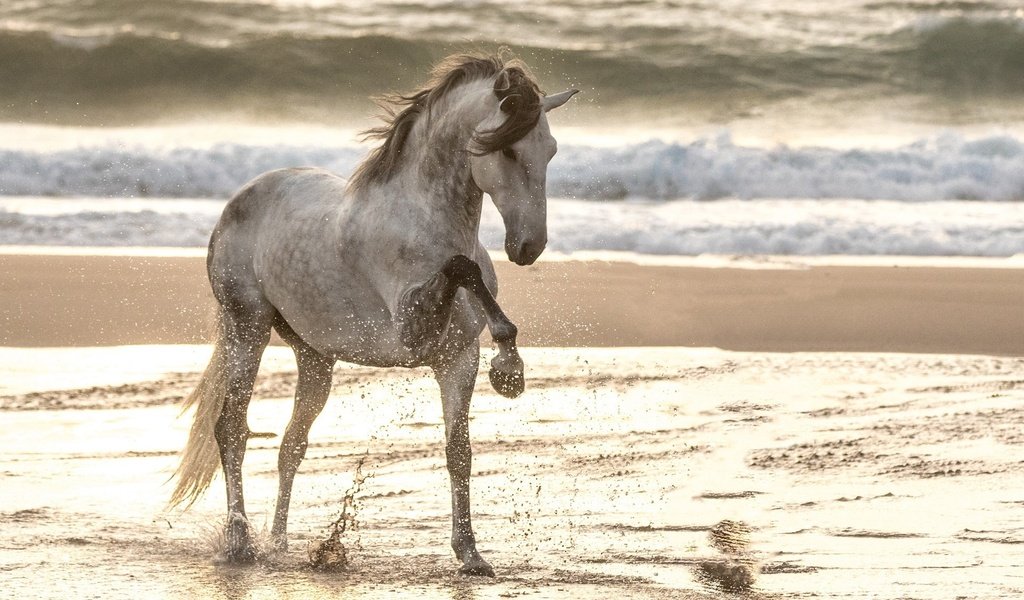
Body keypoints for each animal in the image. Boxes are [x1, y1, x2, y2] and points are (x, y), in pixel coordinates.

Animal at [172, 54, 581, 573]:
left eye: (550, 150)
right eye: (507, 151)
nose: (528, 248)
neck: (421, 221)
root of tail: (239, 200)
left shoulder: (456, 359)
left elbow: (459, 451)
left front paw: (470, 554)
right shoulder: (413, 331)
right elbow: (461, 268)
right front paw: (509, 368)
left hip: (315, 357)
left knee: (291, 445)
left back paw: (279, 544)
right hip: (248, 328)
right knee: (231, 429)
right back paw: (241, 543)